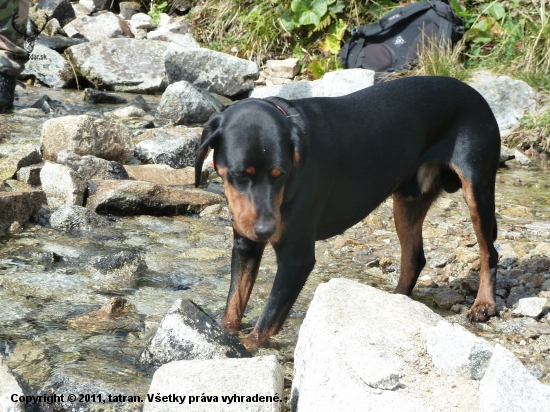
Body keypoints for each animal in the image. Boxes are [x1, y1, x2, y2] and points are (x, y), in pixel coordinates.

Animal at [195, 75, 504, 350]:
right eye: (239, 175)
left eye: (280, 174)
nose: (265, 231)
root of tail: (475, 94)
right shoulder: (245, 243)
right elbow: (233, 306)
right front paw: (224, 335)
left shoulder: (296, 259)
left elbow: (268, 318)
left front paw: (245, 347)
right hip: (408, 200)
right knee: (414, 258)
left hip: (477, 188)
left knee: (489, 252)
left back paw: (484, 303)